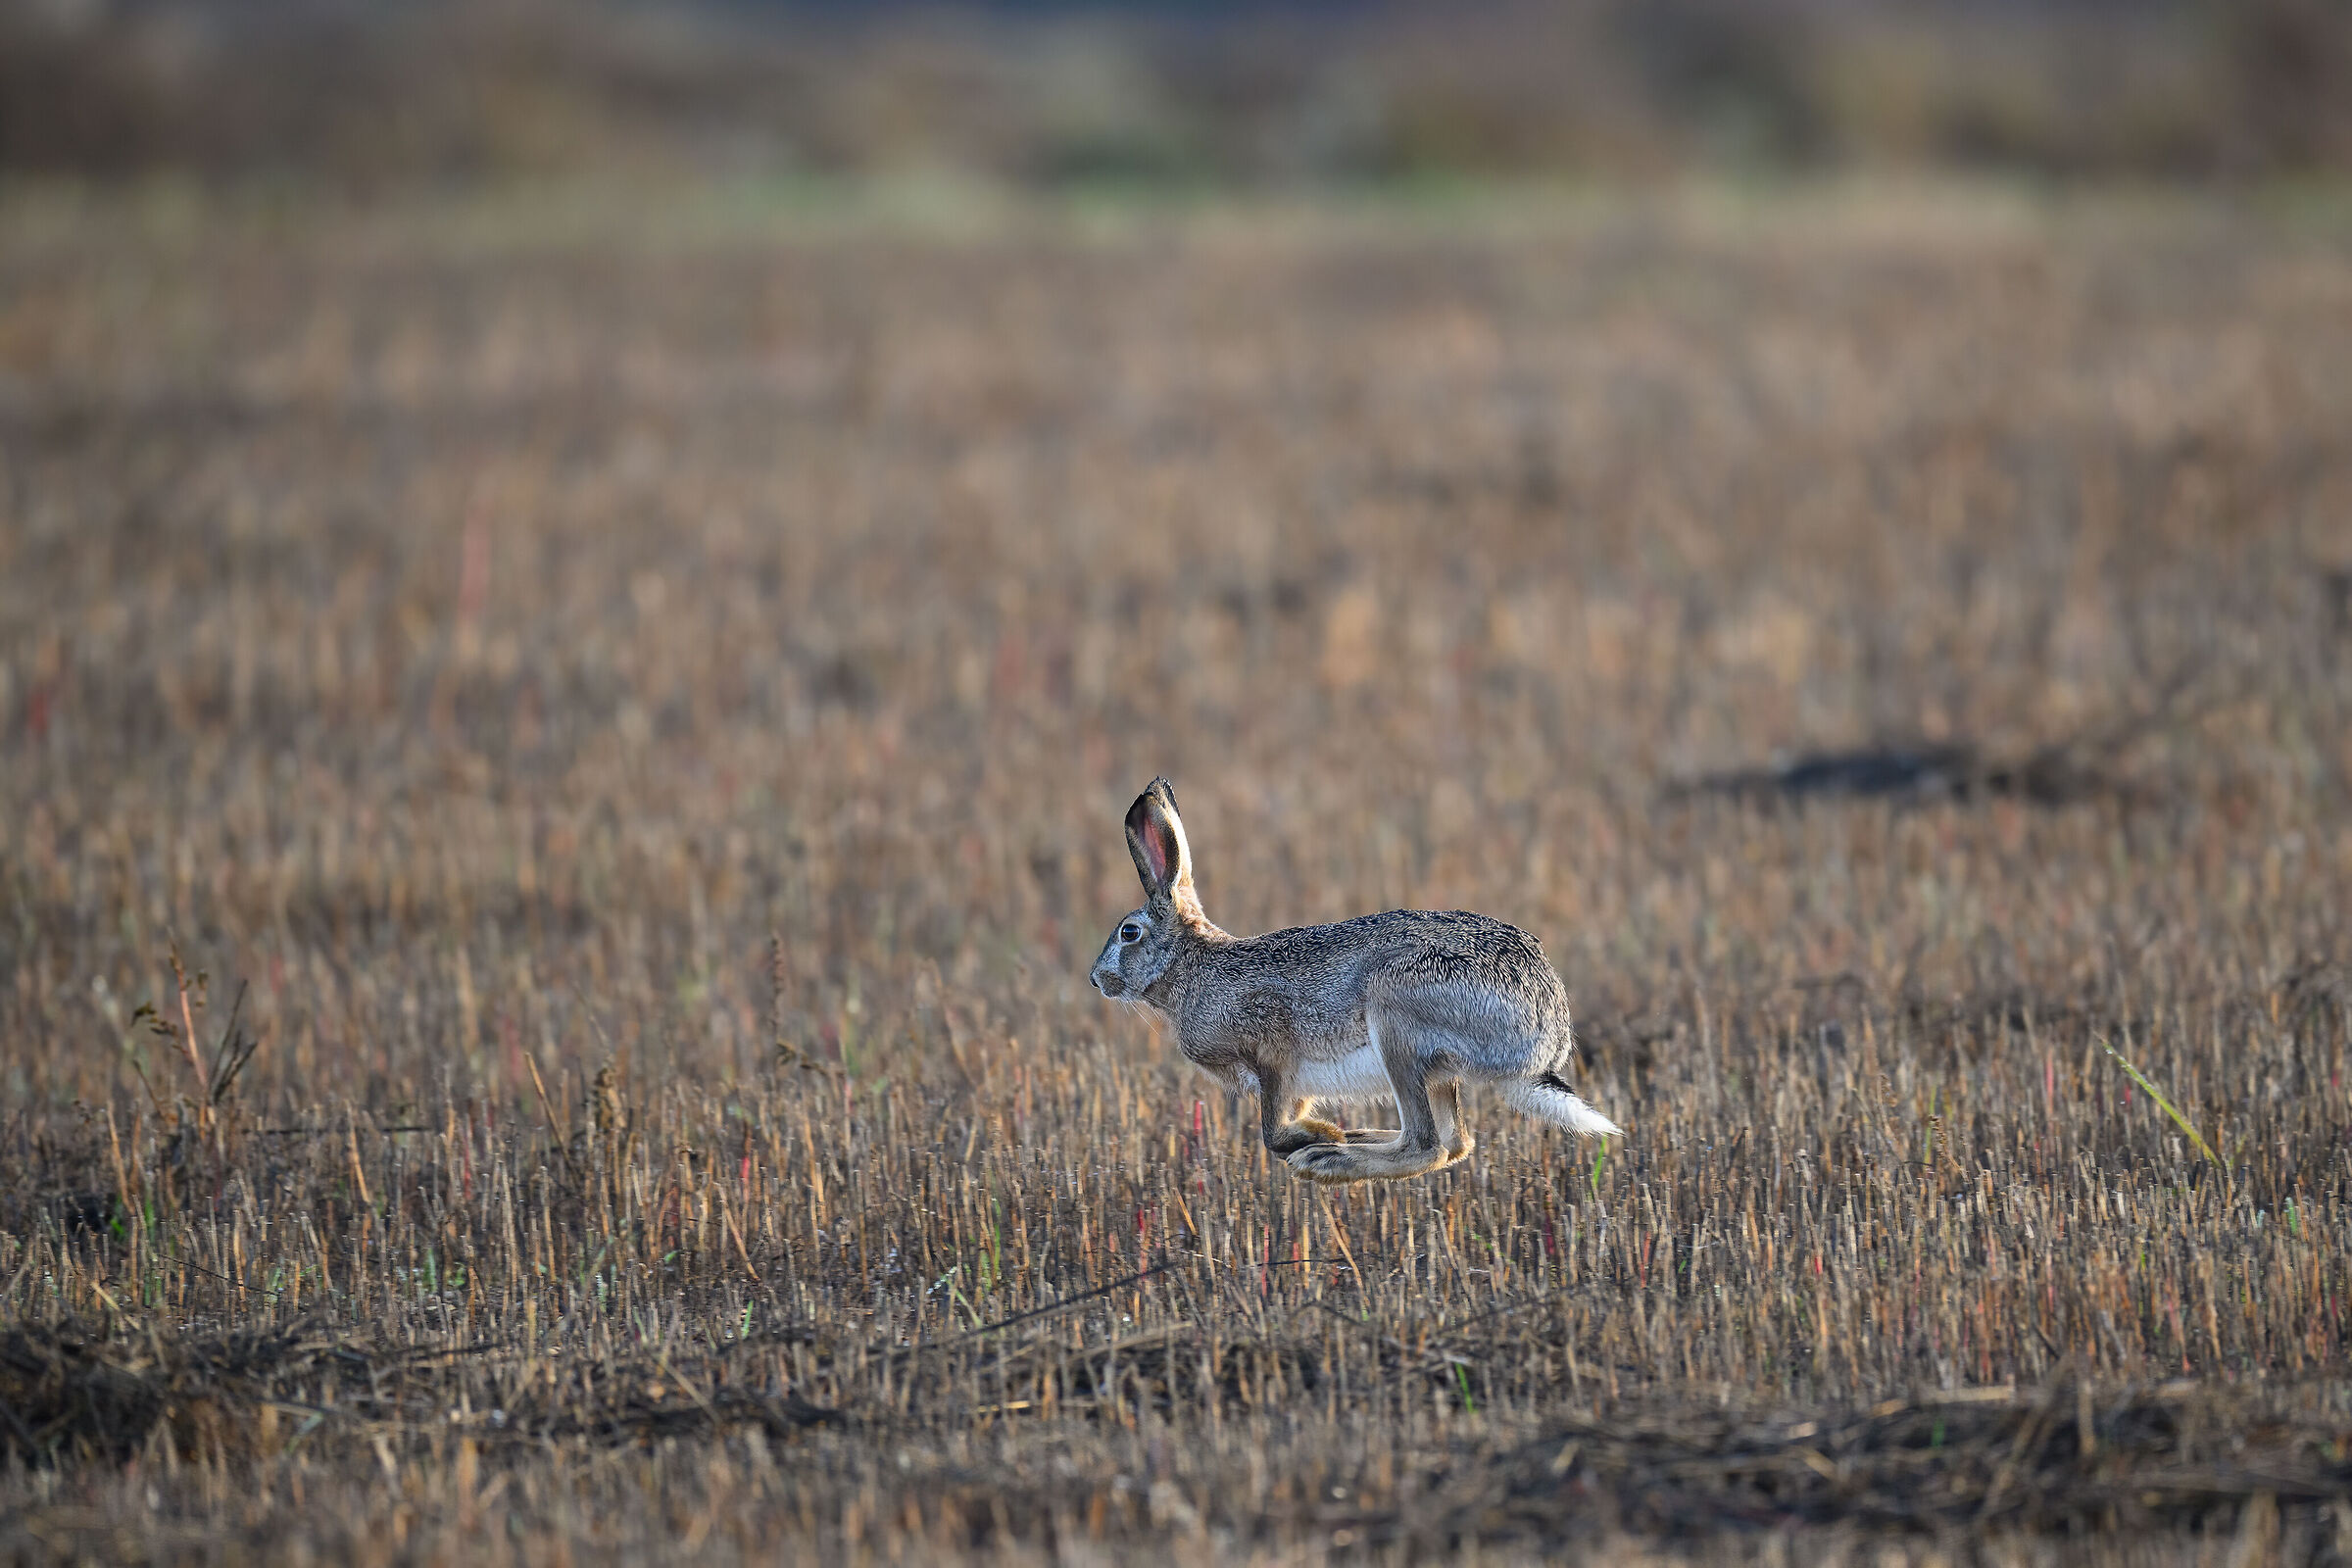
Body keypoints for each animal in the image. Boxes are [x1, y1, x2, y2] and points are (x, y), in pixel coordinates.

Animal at [1089, 778, 1620, 1183]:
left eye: (1129, 932)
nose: (1096, 979)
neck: (1193, 966)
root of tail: (1545, 1042)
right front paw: (1324, 1129)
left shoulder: (1271, 1056)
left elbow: (1272, 1132)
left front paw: (1318, 1136)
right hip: (1437, 1067)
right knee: (1454, 1143)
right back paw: (1358, 1138)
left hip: (1396, 1018)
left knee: (1428, 1145)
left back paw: (1331, 1159)